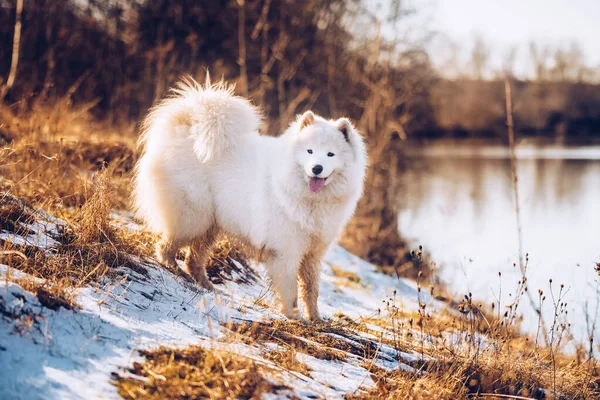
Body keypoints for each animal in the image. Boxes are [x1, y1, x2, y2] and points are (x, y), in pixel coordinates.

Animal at [133, 78, 366, 320]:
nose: (317, 168)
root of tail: (185, 127)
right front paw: (293, 316)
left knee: (194, 258)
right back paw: (171, 266)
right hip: (193, 217)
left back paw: (206, 284)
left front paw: (315, 318)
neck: (309, 197)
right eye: (310, 151)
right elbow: (290, 289)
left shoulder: (313, 253)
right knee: (167, 245)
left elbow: (311, 289)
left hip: (211, 224)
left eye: (330, 154)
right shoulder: (286, 251)